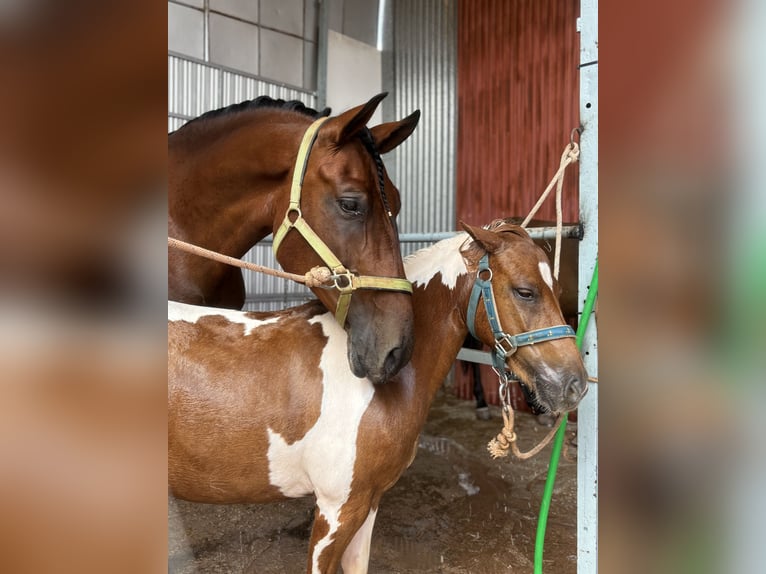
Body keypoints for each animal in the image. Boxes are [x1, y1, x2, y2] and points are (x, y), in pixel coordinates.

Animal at [168, 219, 588, 572]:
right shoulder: (336, 510)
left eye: (559, 291)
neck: (379, 379)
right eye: (525, 291)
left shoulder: (367, 503)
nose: (576, 384)